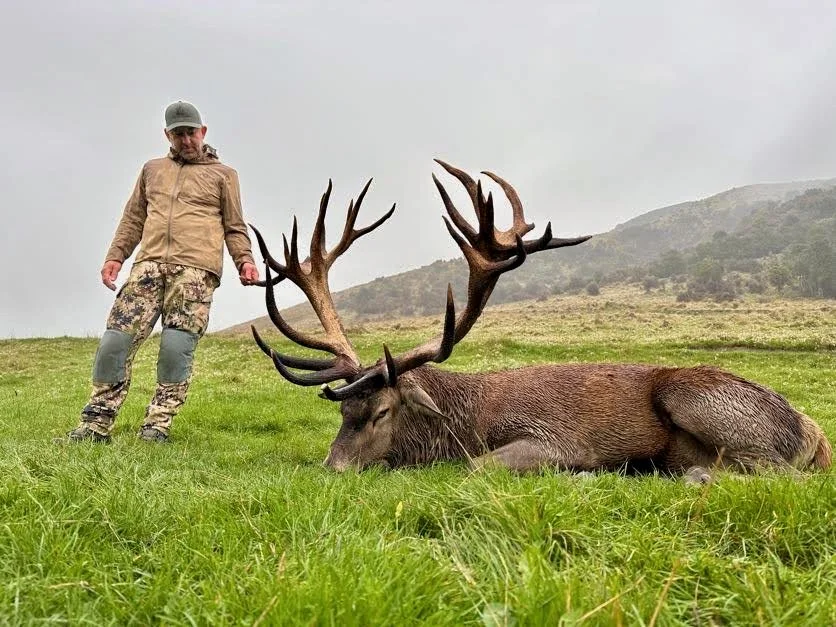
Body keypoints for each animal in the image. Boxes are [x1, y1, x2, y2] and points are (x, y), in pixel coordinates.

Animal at [248, 159, 832, 483]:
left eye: (383, 411)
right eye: (343, 412)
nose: (333, 469)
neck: (468, 422)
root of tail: (811, 432)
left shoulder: (554, 438)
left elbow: (479, 467)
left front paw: (588, 476)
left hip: (701, 401)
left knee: (780, 477)